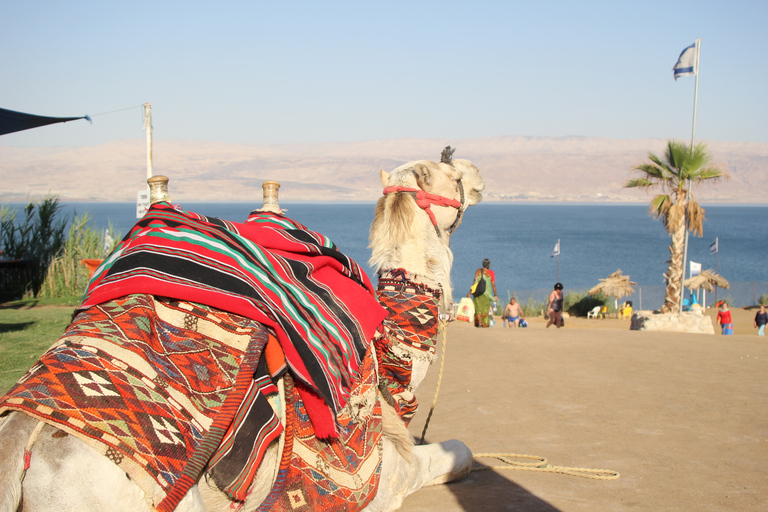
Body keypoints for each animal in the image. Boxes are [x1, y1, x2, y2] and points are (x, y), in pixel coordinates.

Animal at [0, 151, 480, 512]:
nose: (475, 173)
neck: (391, 356)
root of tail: (24, 432)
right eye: (452, 174)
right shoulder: (383, 480)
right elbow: (461, 452)